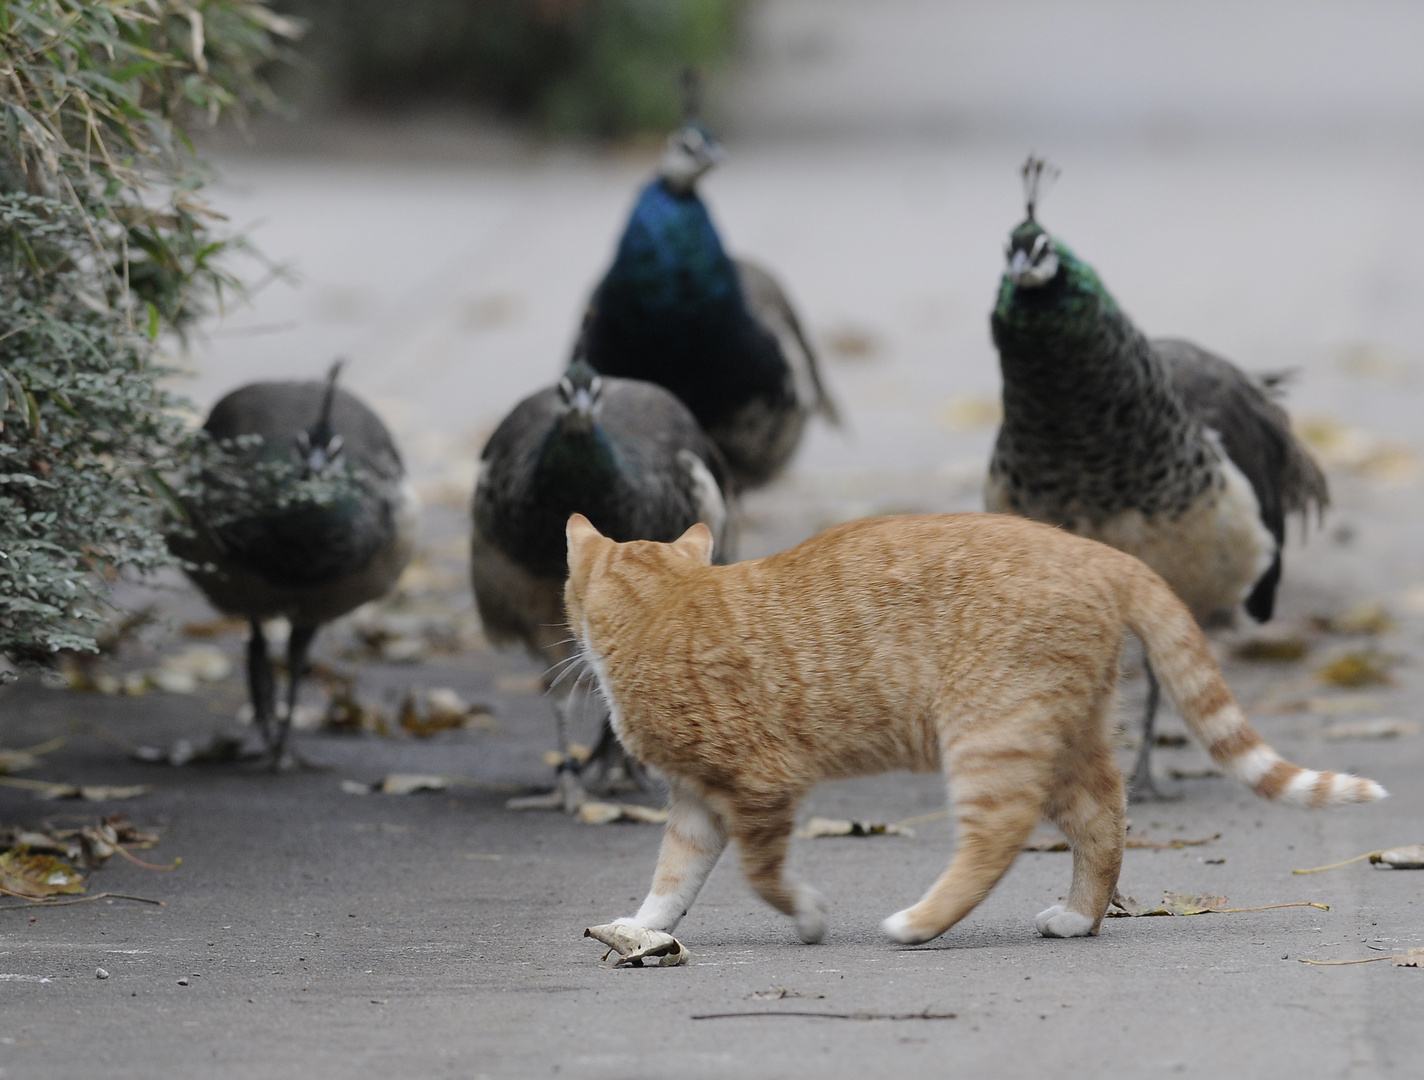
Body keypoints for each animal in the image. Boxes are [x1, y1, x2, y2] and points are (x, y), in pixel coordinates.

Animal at [561, 512, 1384, 946]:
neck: (667, 604)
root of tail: (1098, 551)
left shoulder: (760, 786)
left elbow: (762, 878)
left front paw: (808, 917)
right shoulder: (698, 801)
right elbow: (672, 876)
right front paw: (642, 929)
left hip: (990, 737)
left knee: (998, 837)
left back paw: (920, 922)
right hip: (1063, 737)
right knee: (1103, 818)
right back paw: (1079, 917)